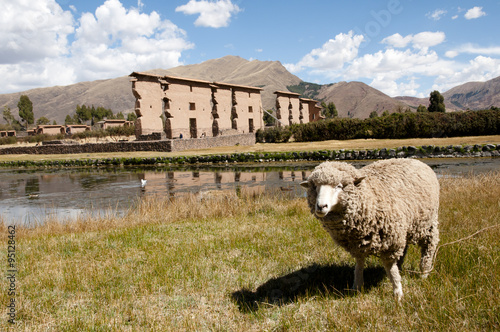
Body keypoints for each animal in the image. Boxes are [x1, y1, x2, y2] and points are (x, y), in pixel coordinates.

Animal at [300, 159, 438, 300]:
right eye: (315, 187)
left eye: (339, 186)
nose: (321, 206)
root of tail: (415, 160)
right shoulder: (357, 244)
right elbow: (359, 264)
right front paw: (356, 287)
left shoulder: (390, 242)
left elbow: (390, 268)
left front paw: (397, 292)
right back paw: (401, 265)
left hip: (427, 224)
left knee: (429, 247)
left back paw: (424, 273)